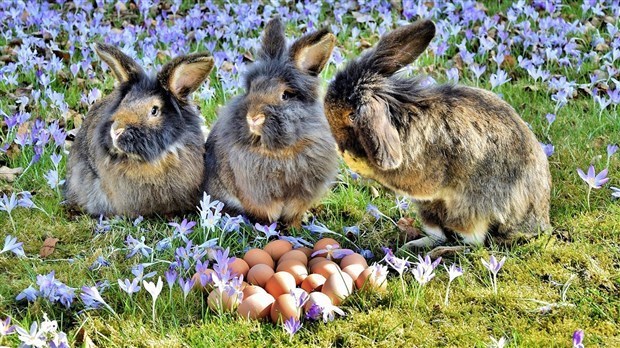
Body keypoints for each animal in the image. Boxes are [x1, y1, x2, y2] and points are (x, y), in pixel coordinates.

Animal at [203, 17, 340, 228]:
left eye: (286, 95)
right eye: (252, 88)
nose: (253, 117)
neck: (280, 151)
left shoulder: (301, 195)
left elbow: (294, 214)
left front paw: (295, 228)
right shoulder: (257, 194)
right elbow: (267, 213)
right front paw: (269, 229)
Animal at [322, 19, 548, 247]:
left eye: (352, 116)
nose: (339, 145)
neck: (399, 115)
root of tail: (537, 222)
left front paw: (352, 160)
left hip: (469, 208)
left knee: (471, 240)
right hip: (428, 209)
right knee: (438, 233)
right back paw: (414, 245)